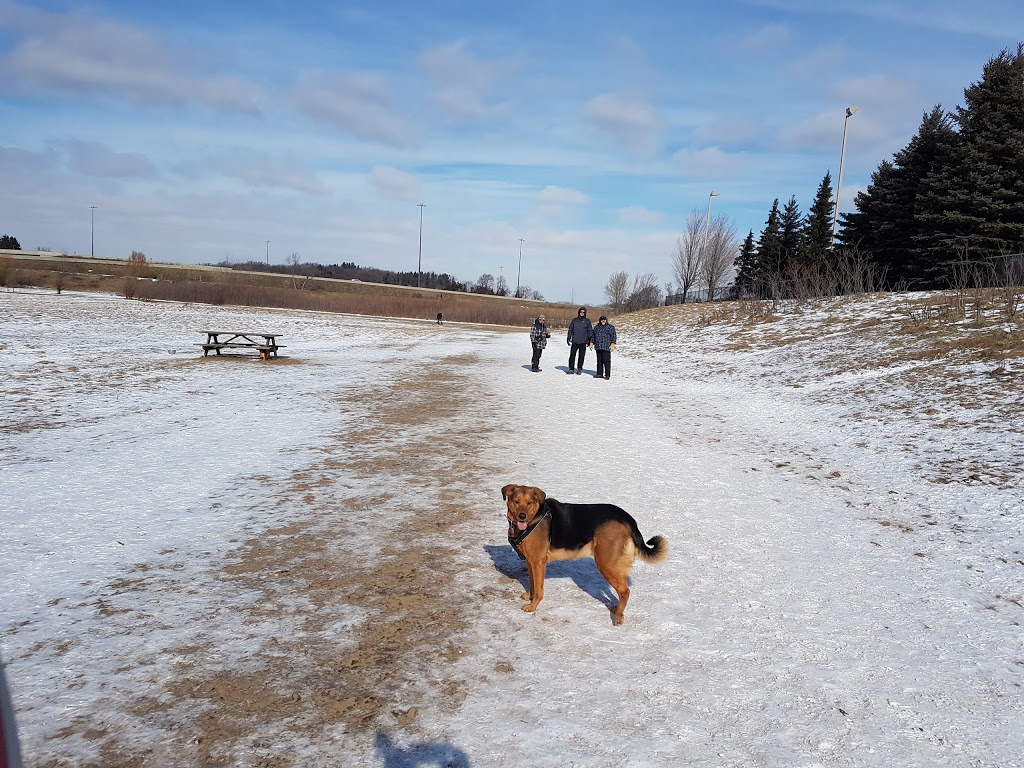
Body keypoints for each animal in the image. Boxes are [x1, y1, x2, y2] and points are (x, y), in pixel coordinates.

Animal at [499, 487, 667, 626]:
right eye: (516, 501)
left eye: (529, 502)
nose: (522, 516)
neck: (534, 518)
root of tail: (627, 518)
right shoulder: (530, 562)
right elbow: (533, 584)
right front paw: (530, 596)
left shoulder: (538, 563)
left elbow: (539, 589)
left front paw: (533, 606)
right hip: (615, 564)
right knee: (621, 590)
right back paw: (617, 608)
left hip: (605, 563)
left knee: (625, 590)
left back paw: (618, 617)